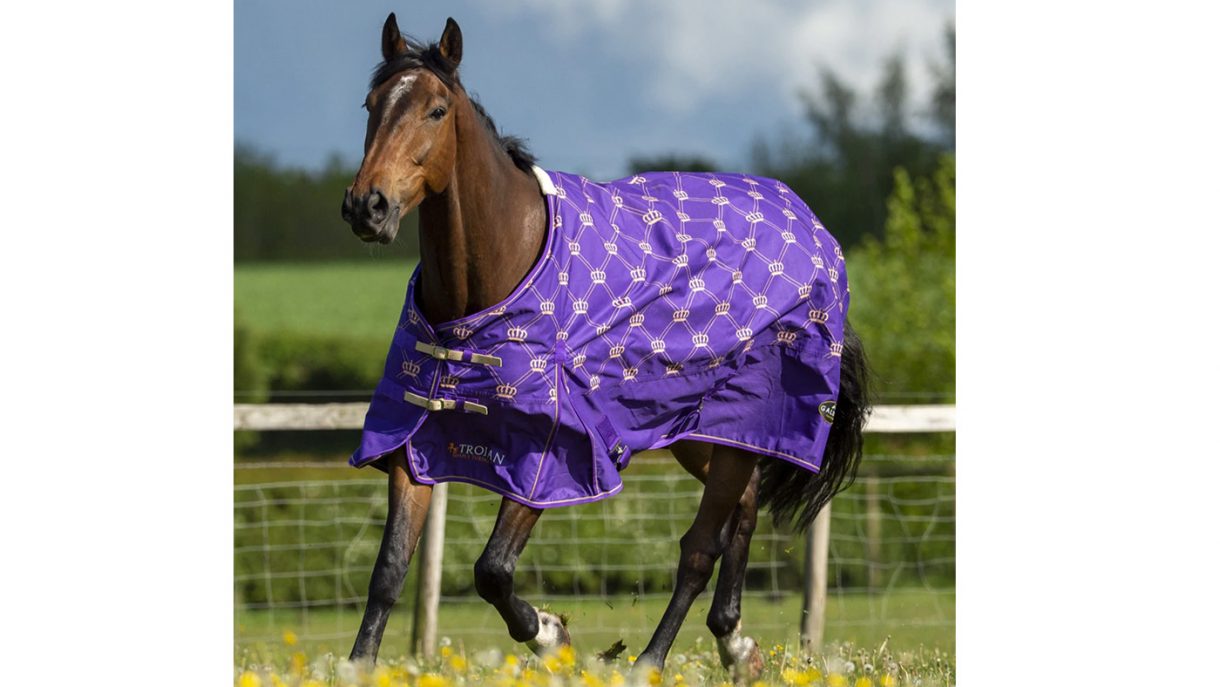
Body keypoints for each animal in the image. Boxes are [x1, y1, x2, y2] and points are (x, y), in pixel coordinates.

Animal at [339, 14, 870, 681]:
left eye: (436, 110)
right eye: (371, 104)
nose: (367, 206)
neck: (495, 279)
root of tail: (813, 226)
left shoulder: (553, 454)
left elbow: (493, 571)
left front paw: (552, 635)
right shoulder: (411, 438)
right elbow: (388, 571)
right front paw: (358, 665)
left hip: (743, 417)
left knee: (700, 548)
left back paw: (651, 660)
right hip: (700, 434)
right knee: (743, 511)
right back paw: (736, 645)